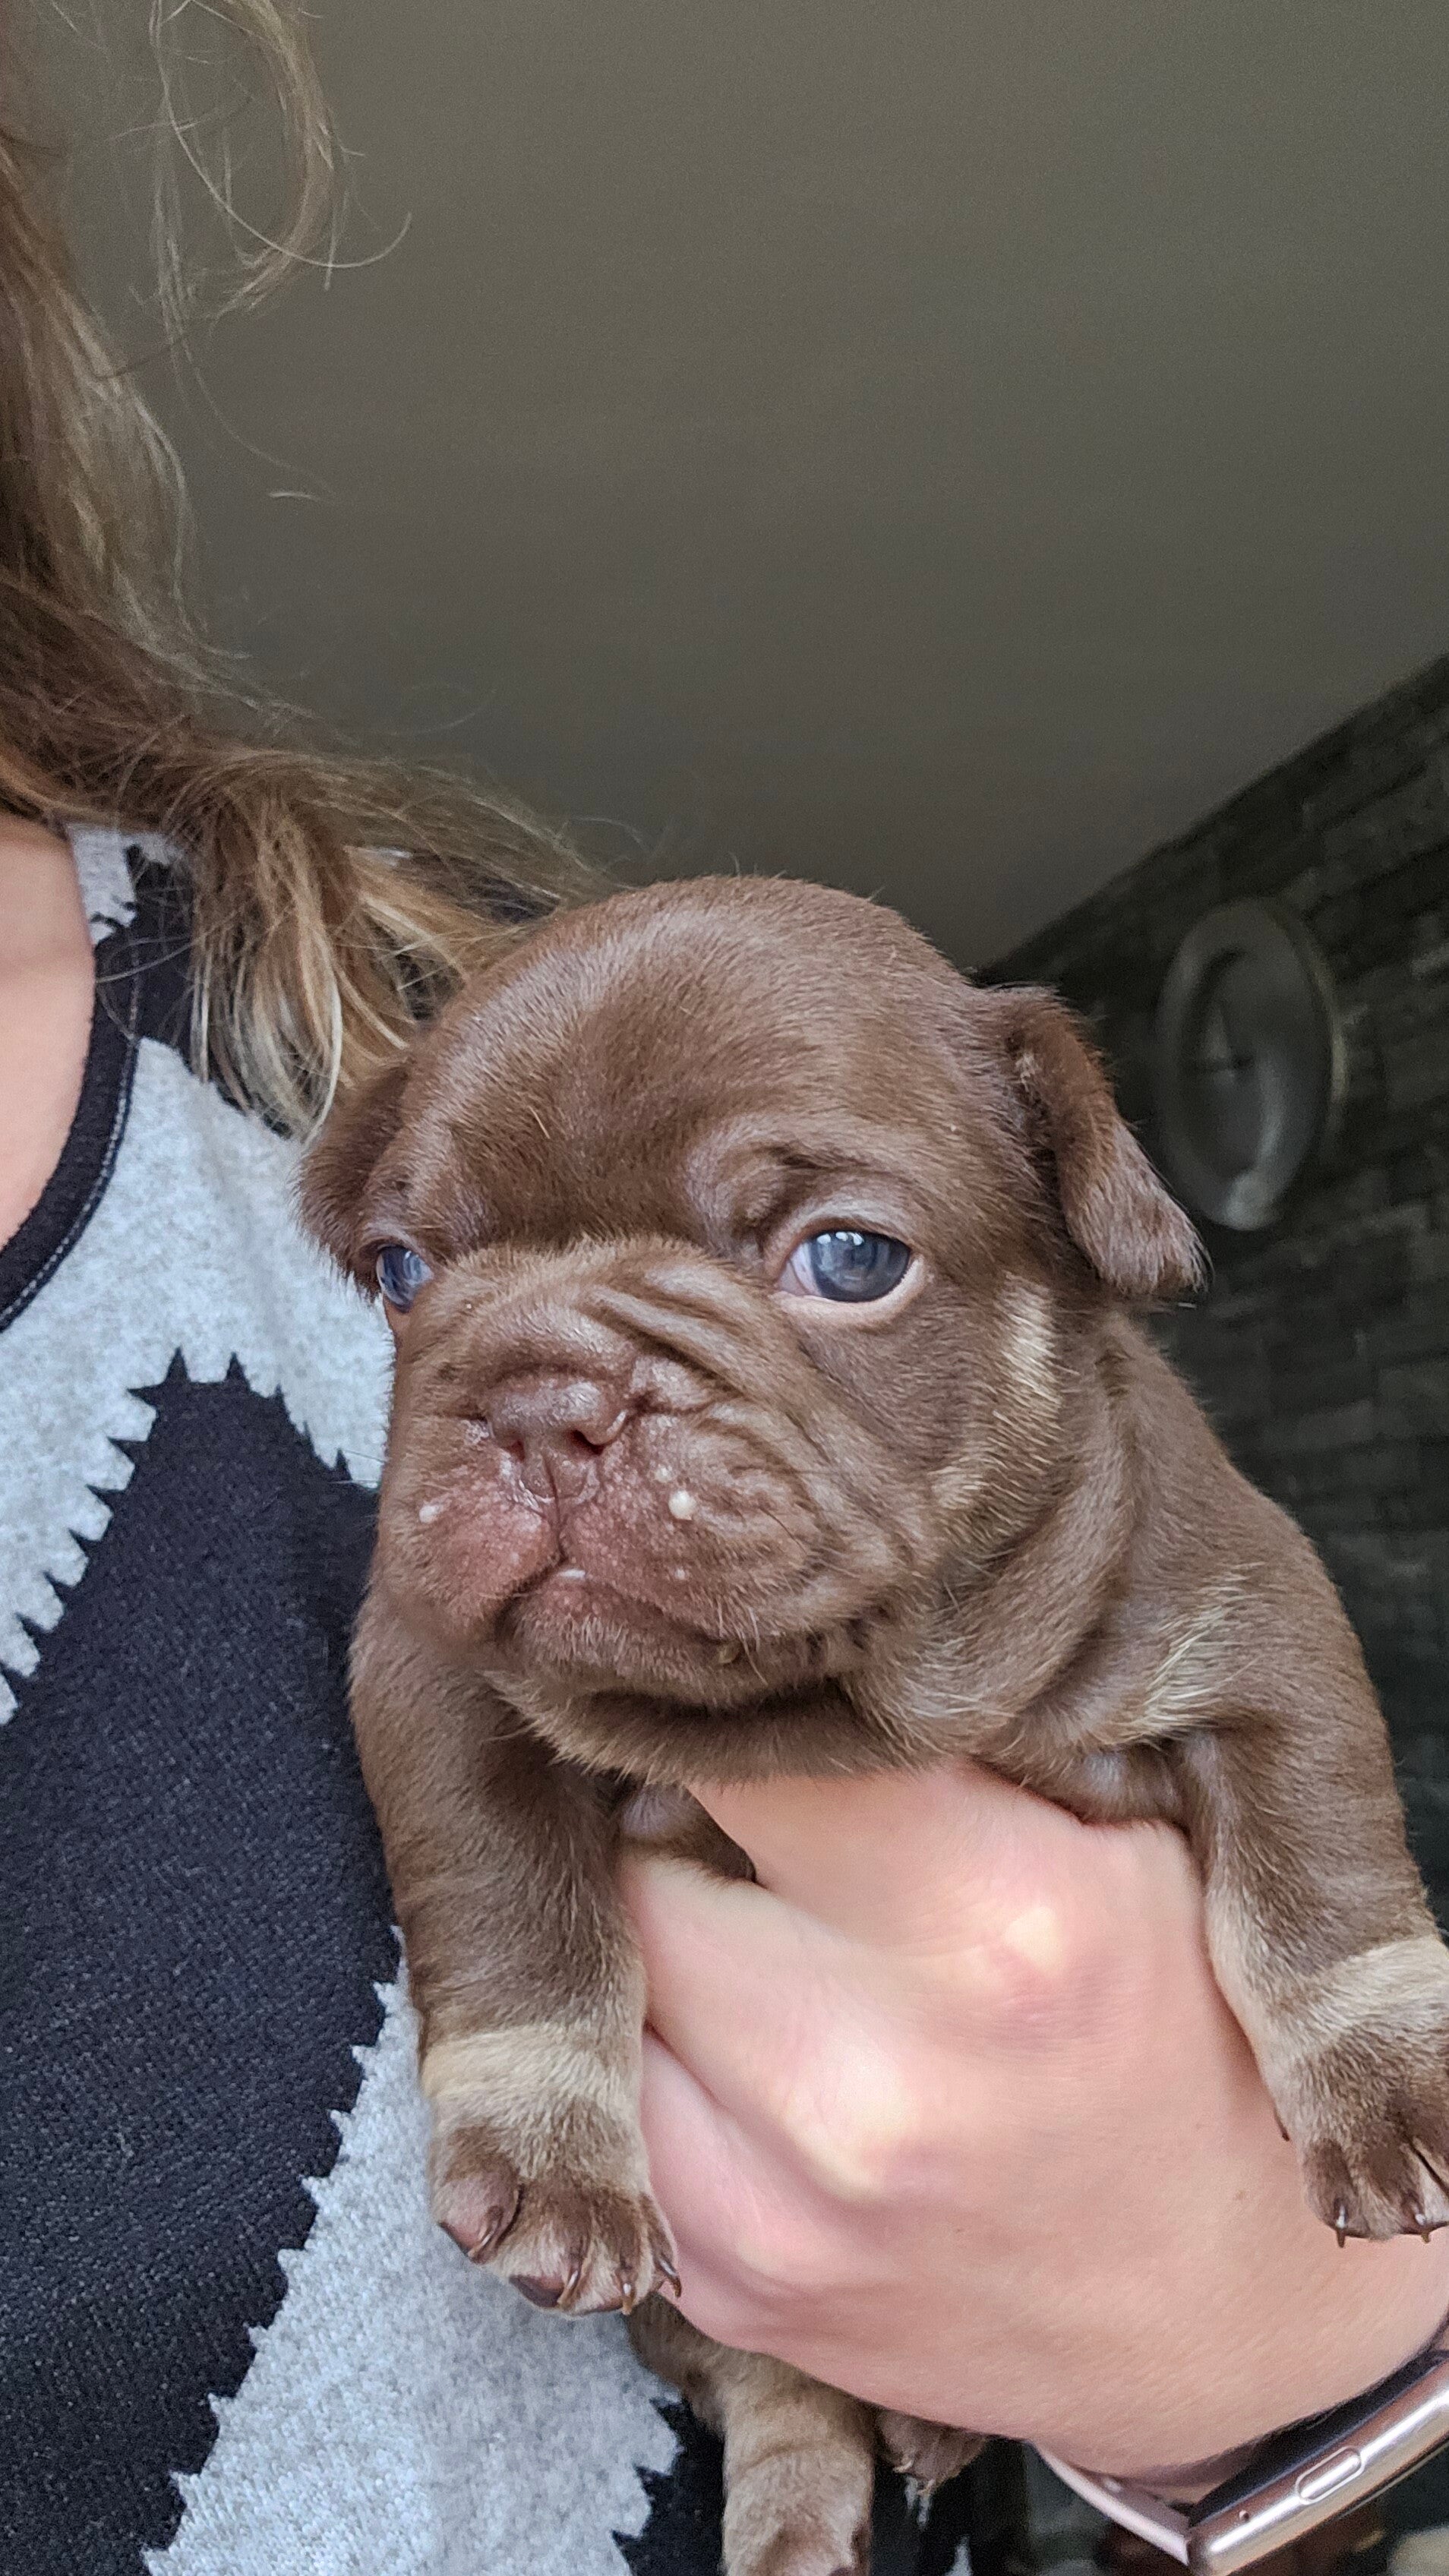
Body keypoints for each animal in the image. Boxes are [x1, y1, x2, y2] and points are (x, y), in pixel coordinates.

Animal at [303, 875, 1449, 2576]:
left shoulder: (1257, 1635)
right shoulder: (434, 1688)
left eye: (849, 1261)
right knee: (780, 2385)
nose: (533, 1389)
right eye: (398, 1271)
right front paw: (549, 2143)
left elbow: (1322, 1886)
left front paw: (1393, 2078)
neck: (821, 1701)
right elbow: (513, 1923)